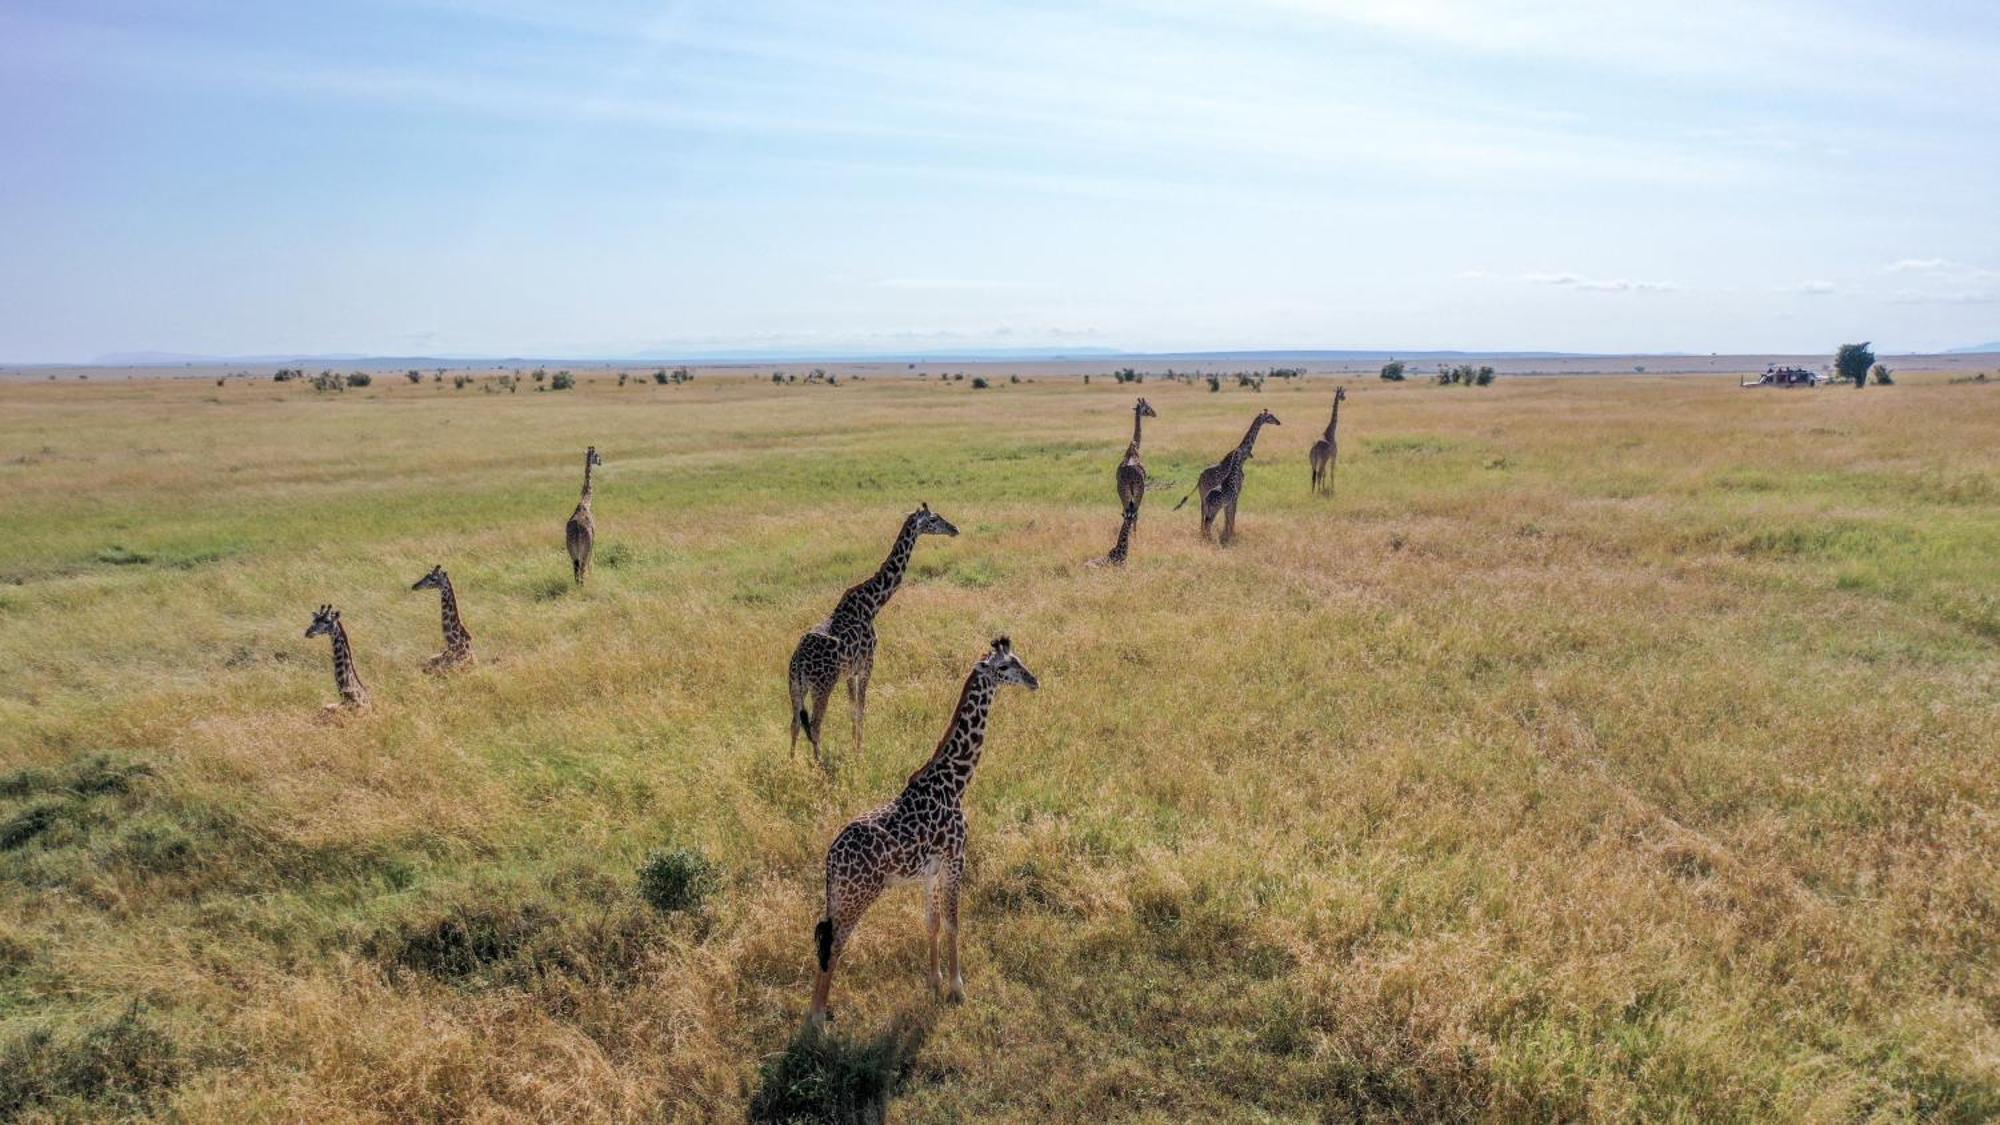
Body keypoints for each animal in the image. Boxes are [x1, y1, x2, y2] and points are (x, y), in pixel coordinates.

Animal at [564, 444, 600, 580]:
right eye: (597, 455)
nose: (601, 462)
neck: (585, 503)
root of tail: (578, 530)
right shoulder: (593, 541)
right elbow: (591, 562)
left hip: (572, 551)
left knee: (576, 571)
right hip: (584, 550)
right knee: (582, 569)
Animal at [788, 498, 960, 760]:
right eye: (933, 519)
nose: (954, 529)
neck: (873, 604)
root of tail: (799, 661)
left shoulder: (850, 672)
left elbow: (852, 710)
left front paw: (854, 747)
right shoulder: (867, 664)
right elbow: (861, 709)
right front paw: (861, 753)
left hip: (796, 686)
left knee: (795, 723)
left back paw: (791, 762)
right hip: (822, 685)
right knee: (815, 725)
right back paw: (817, 764)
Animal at [804, 636, 1040, 1020]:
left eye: (1018, 658)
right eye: (1005, 666)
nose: (1034, 681)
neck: (955, 783)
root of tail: (831, 857)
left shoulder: (929, 871)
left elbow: (931, 922)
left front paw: (935, 981)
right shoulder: (956, 859)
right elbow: (953, 923)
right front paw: (958, 989)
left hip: (840, 895)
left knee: (824, 938)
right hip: (858, 896)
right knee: (834, 944)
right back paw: (817, 1020)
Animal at [1168, 406, 1280, 544]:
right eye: (1270, 416)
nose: (1279, 422)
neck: (1242, 460)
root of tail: (1199, 479)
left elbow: (1228, 514)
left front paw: (1226, 534)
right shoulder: (1237, 491)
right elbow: (1232, 513)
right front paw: (1230, 535)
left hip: (1203, 494)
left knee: (1204, 511)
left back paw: (1203, 533)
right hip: (1205, 492)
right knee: (1204, 512)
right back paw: (1204, 534)